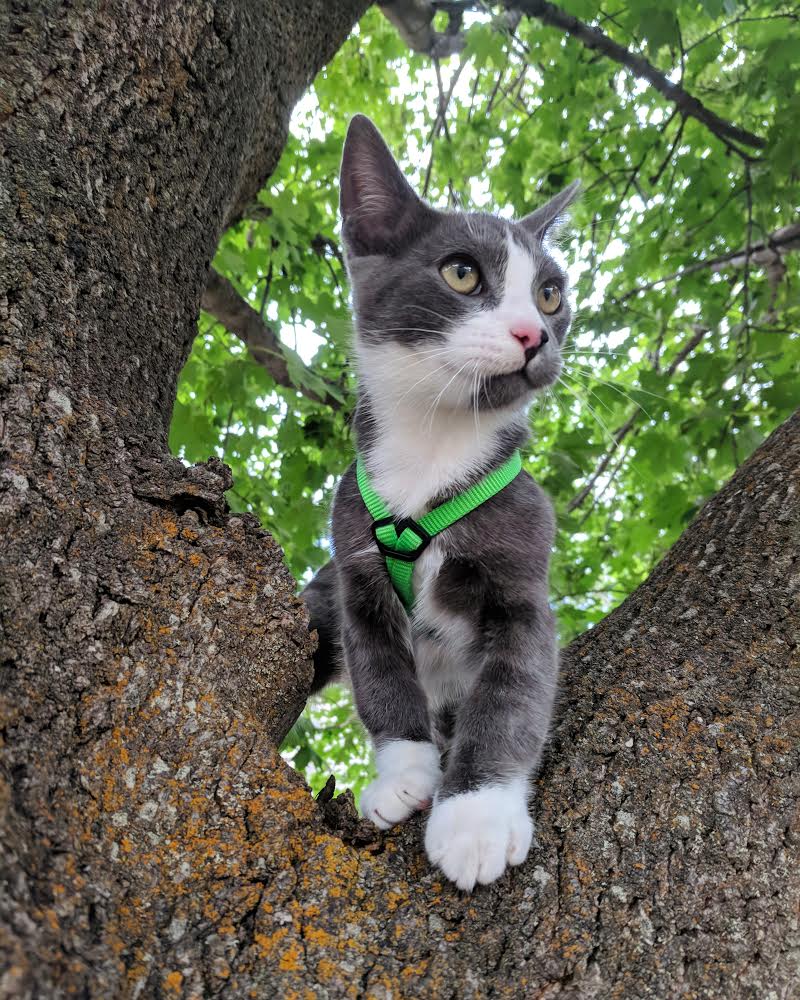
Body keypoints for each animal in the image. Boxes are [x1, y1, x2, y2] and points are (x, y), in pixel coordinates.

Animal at [304, 115, 580, 892]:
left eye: (550, 294)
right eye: (461, 272)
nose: (535, 335)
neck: (433, 454)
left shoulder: (523, 572)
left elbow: (510, 696)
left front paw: (475, 819)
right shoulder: (355, 562)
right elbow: (381, 677)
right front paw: (403, 774)